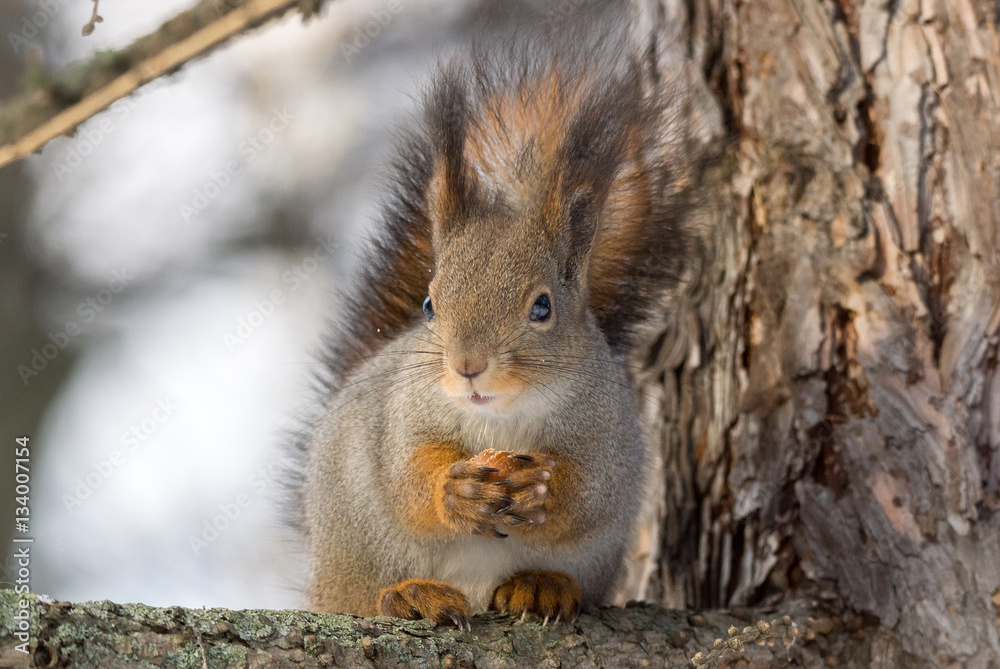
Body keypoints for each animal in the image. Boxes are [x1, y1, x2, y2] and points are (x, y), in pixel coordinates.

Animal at [294, 22, 714, 627]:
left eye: (542, 307)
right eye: (429, 306)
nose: (468, 367)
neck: (501, 418)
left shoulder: (605, 434)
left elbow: (588, 497)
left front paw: (545, 492)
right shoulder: (400, 419)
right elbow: (405, 478)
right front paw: (456, 493)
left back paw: (540, 585)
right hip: (355, 549)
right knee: (365, 595)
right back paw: (407, 595)